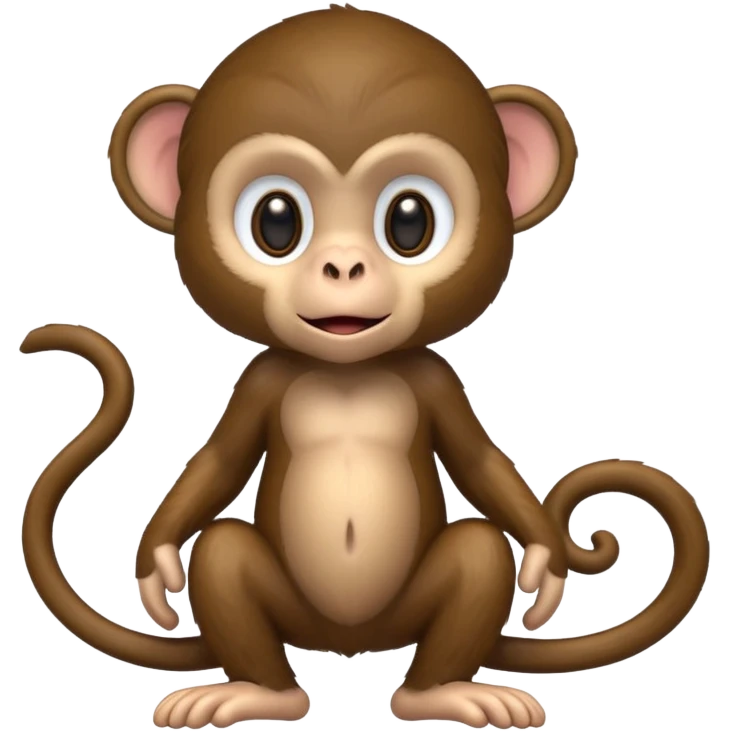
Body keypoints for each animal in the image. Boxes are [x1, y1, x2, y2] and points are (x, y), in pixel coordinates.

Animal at [19, 4, 710, 730]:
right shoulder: (260, 381)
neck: (347, 368)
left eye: (409, 221)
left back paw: (442, 692)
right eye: (275, 221)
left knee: (480, 553)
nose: (344, 265)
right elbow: (221, 462)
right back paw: (257, 692)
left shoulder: (436, 380)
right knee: (221, 553)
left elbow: (478, 462)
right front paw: (156, 565)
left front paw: (545, 564)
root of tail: (349, 645)